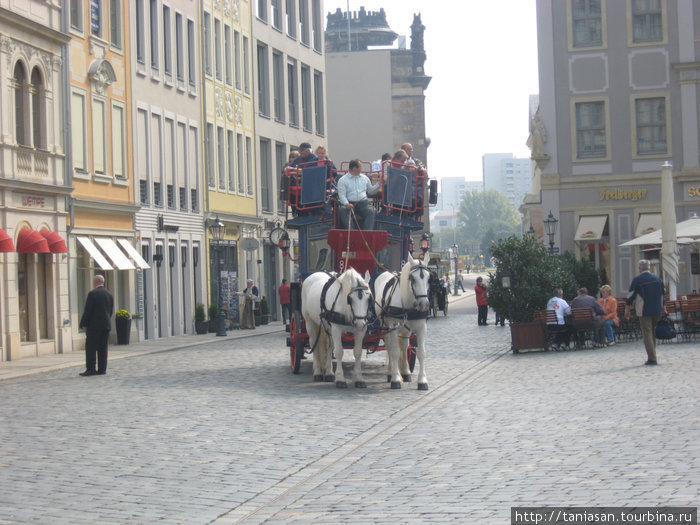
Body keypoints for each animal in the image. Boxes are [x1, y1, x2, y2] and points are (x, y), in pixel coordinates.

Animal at [374, 252, 430, 390]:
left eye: (429, 278)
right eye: (412, 278)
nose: (424, 305)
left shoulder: (421, 328)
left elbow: (421, 352)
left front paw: (422, 380)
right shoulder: (392, 327)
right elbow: (394, 352)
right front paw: (396, 378)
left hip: (405, 330)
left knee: (404, 347)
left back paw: (406, 372)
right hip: (385, 326)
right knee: (390, 347)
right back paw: (391, 373)